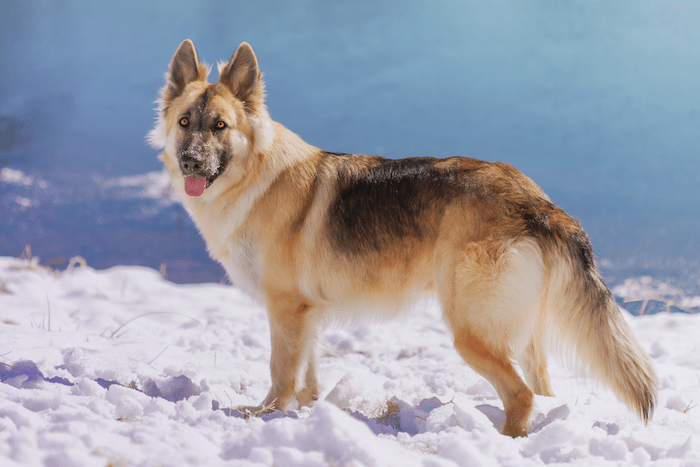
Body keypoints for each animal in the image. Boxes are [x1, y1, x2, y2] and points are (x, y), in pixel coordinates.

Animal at [149, 40, 656, 438]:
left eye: (220, 126)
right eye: (185, 123)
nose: (191, 162)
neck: (256, 179)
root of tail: (536, 200)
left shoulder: (286, 310)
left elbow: (281, 373)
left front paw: (265, 416)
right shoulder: (306, 314)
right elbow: (306, 376)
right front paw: (305, 413)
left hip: (470, 334)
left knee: (521, 397)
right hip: (522, 338)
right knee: (543, 392)